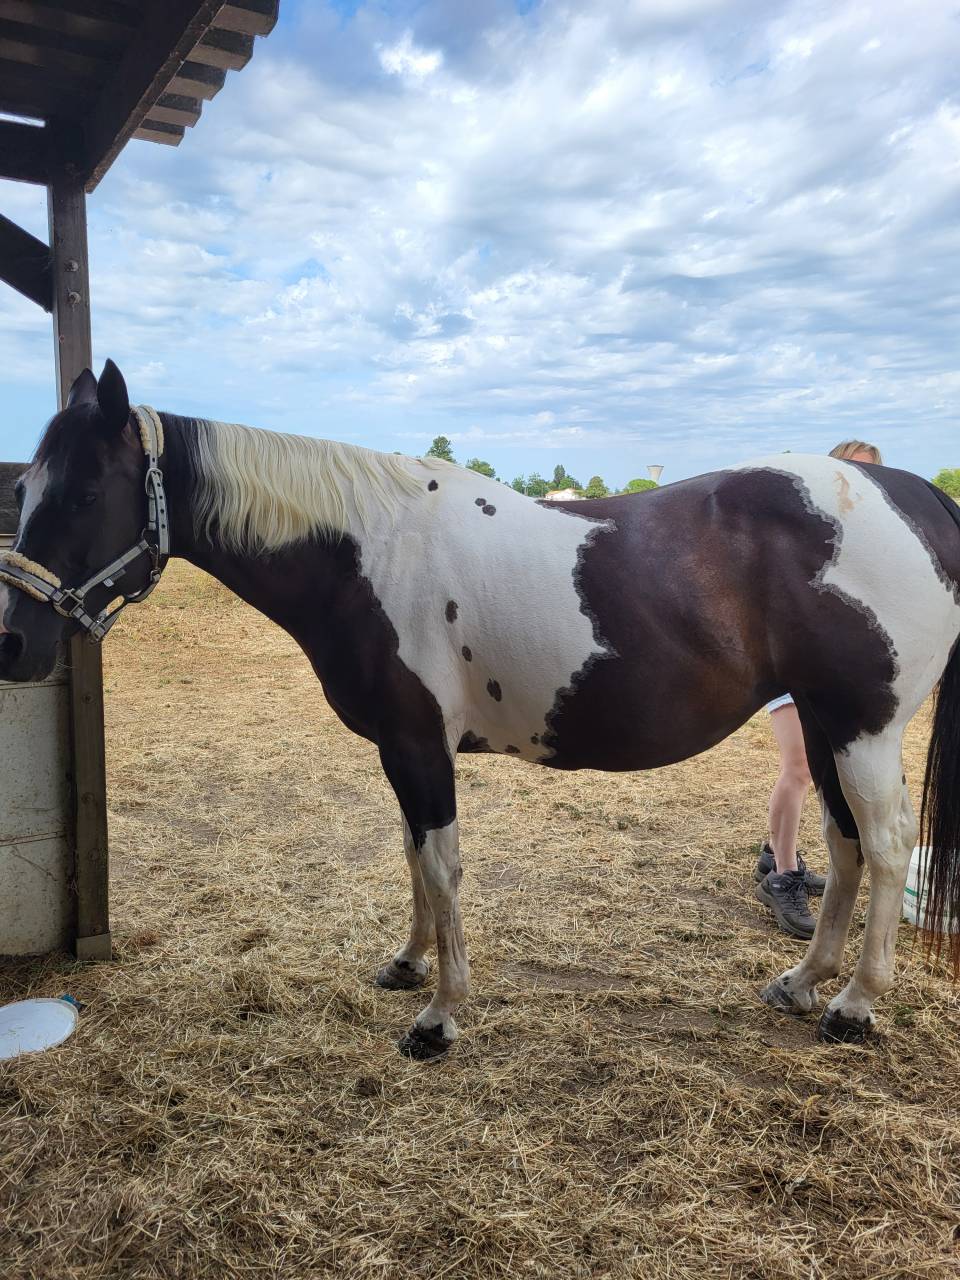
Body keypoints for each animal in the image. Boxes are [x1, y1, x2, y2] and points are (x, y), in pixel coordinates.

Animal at [2, 360, 959, 1059]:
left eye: (83, 494)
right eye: (27, 490)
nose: (14, 644)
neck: (369, 552)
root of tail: (914, 498)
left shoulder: (420, 746)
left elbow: (442, 866)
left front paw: (440, 1015)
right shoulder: (401, 748)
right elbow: (412, 858)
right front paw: (406, 963)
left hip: (865, 730)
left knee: (882, 848)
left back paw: (853, 1006)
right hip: (828, 728)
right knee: (843, 845)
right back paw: (801, 983)